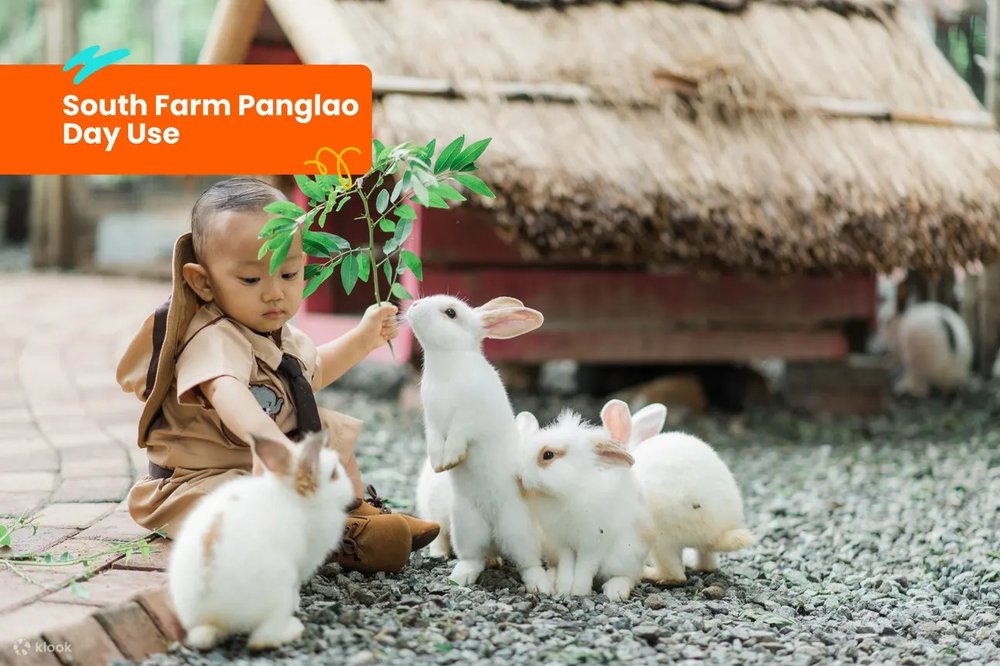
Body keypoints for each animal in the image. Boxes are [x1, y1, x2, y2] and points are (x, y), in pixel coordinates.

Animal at [168, 431, 353, 651]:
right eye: (333, 475)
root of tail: (213, 618)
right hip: (279, 587)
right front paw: (297, 605)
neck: (293, 497)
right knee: (261, 640)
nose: (351, 489)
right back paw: (292, 629)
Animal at [406, 294, 552, 594]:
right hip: (466, 527)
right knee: (473, 558)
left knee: (528, 563)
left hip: (519, 530)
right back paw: (459, 577)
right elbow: (435, 441)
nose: (414, 306)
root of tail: (494, 535)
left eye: (451, 313)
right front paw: (439, 464)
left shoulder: (468, 417)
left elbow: (458, 436)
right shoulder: (432, 422)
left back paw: (539, 586)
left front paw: (450, 460)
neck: (448, 364)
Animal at [516, 405, 652, 601]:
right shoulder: (562, 543)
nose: (520, 476)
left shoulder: (592, 543)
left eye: (548, 455)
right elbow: (567, 566)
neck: (573, 487)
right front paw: (563, 589)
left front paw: (579, 592)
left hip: (626, 555)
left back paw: (616, 591)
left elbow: (584, 567)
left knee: (628, 576)